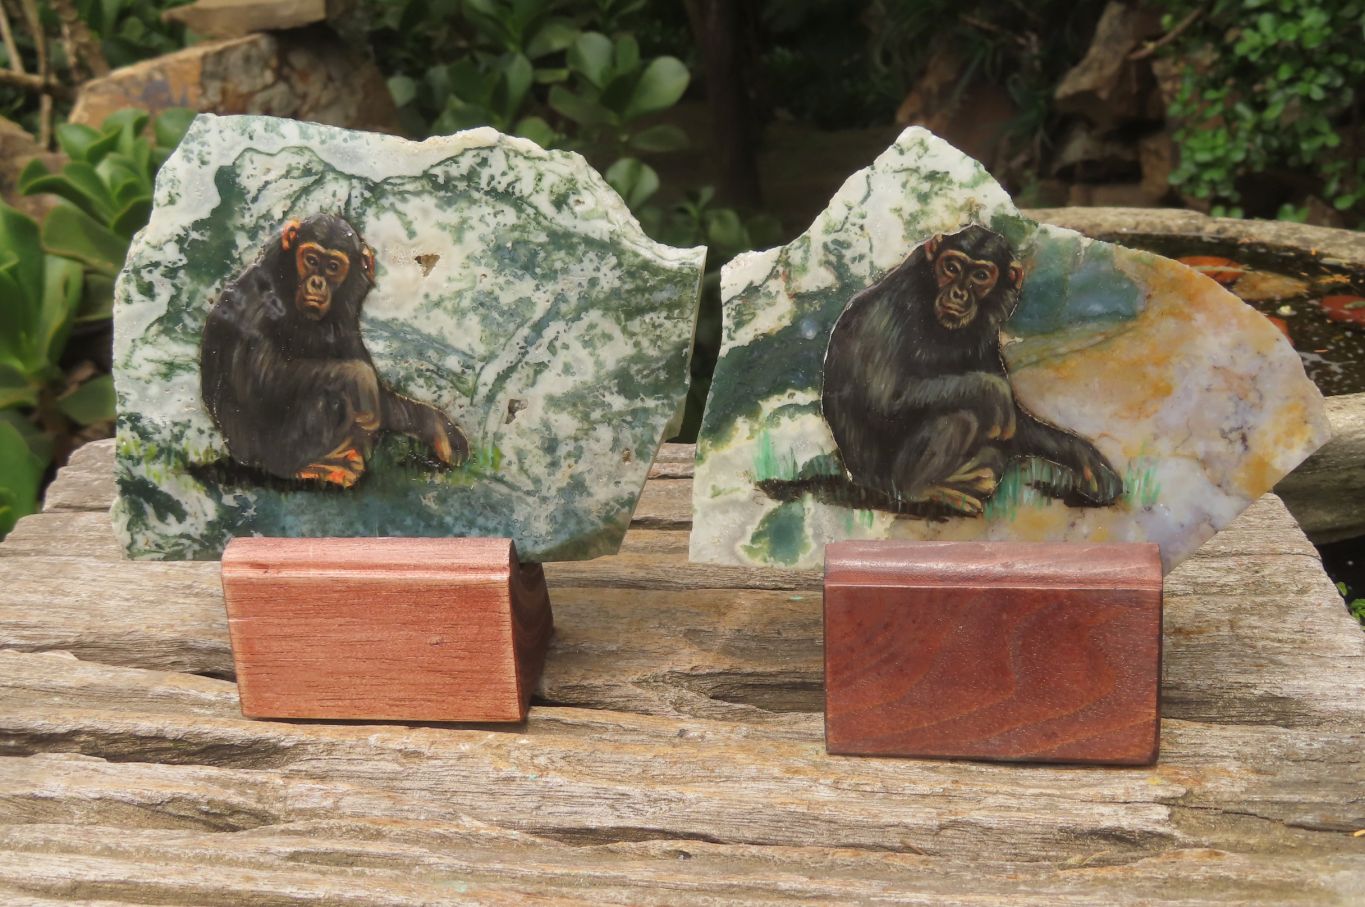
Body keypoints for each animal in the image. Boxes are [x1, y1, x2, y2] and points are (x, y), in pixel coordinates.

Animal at [200, 213, 469, 488]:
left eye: (332, 267)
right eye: (311, 260)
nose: (317, 282)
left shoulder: (346, 314)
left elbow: (376, 387)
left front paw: (439, 429)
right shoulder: (258, 301)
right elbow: (260, 378)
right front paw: (361, 378)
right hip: (271, 453)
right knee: (328, 396)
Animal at [814, 224, 1122, 517]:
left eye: (981, 276)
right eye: (951, 268)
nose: (958, 292)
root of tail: (858, 478)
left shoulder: (988, 334)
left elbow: (1015, 424)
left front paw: (1086, 460)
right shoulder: (890, 310)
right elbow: (883, 397)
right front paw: (992, 391)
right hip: (883, 480)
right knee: (961, 416)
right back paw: (923, 488)